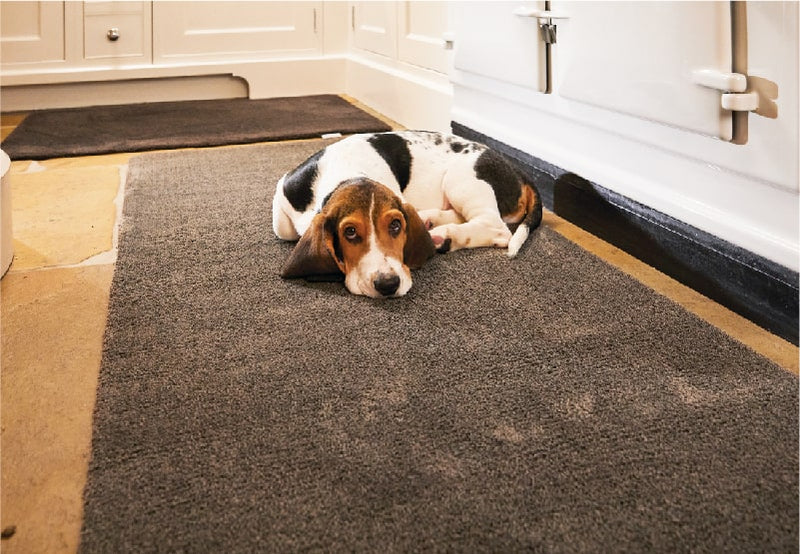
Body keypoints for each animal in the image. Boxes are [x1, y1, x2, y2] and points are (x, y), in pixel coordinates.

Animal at [272, 130, 540, 298]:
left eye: (396, 225)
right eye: (350, 232)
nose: (388, 284)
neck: (347, 174)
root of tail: (517, 169)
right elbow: (283, 228)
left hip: (462, 180)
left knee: (496, 227)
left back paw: (444, 235)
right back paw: (431, 223)